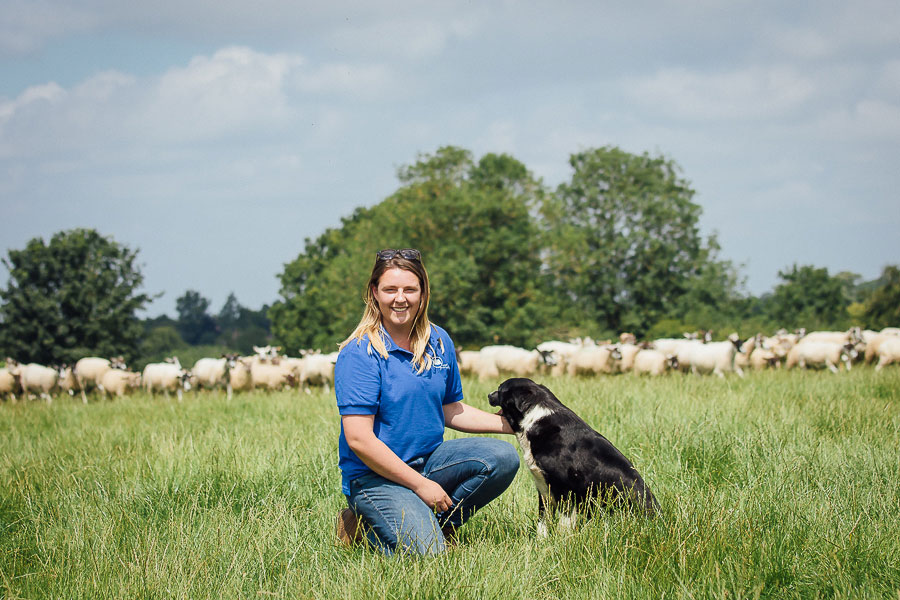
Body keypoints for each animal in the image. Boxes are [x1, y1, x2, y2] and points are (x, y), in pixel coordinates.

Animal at [488, 378, 656, 532]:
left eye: (500, 389)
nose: (489, 395)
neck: (534, 419)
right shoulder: (543, 489)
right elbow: (543, 523)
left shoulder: (564, 490)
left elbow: (564, 523)